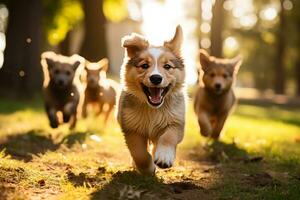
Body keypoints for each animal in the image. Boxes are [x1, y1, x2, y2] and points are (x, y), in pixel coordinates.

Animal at [116, 25, 185, 175]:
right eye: (144, 66)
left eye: (167, 66)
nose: (156, 78)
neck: (153, 109)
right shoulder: (131, 128)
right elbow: (139, 153)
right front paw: (147, 169)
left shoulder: (176, 122)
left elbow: (168, 137)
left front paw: (164, 157)